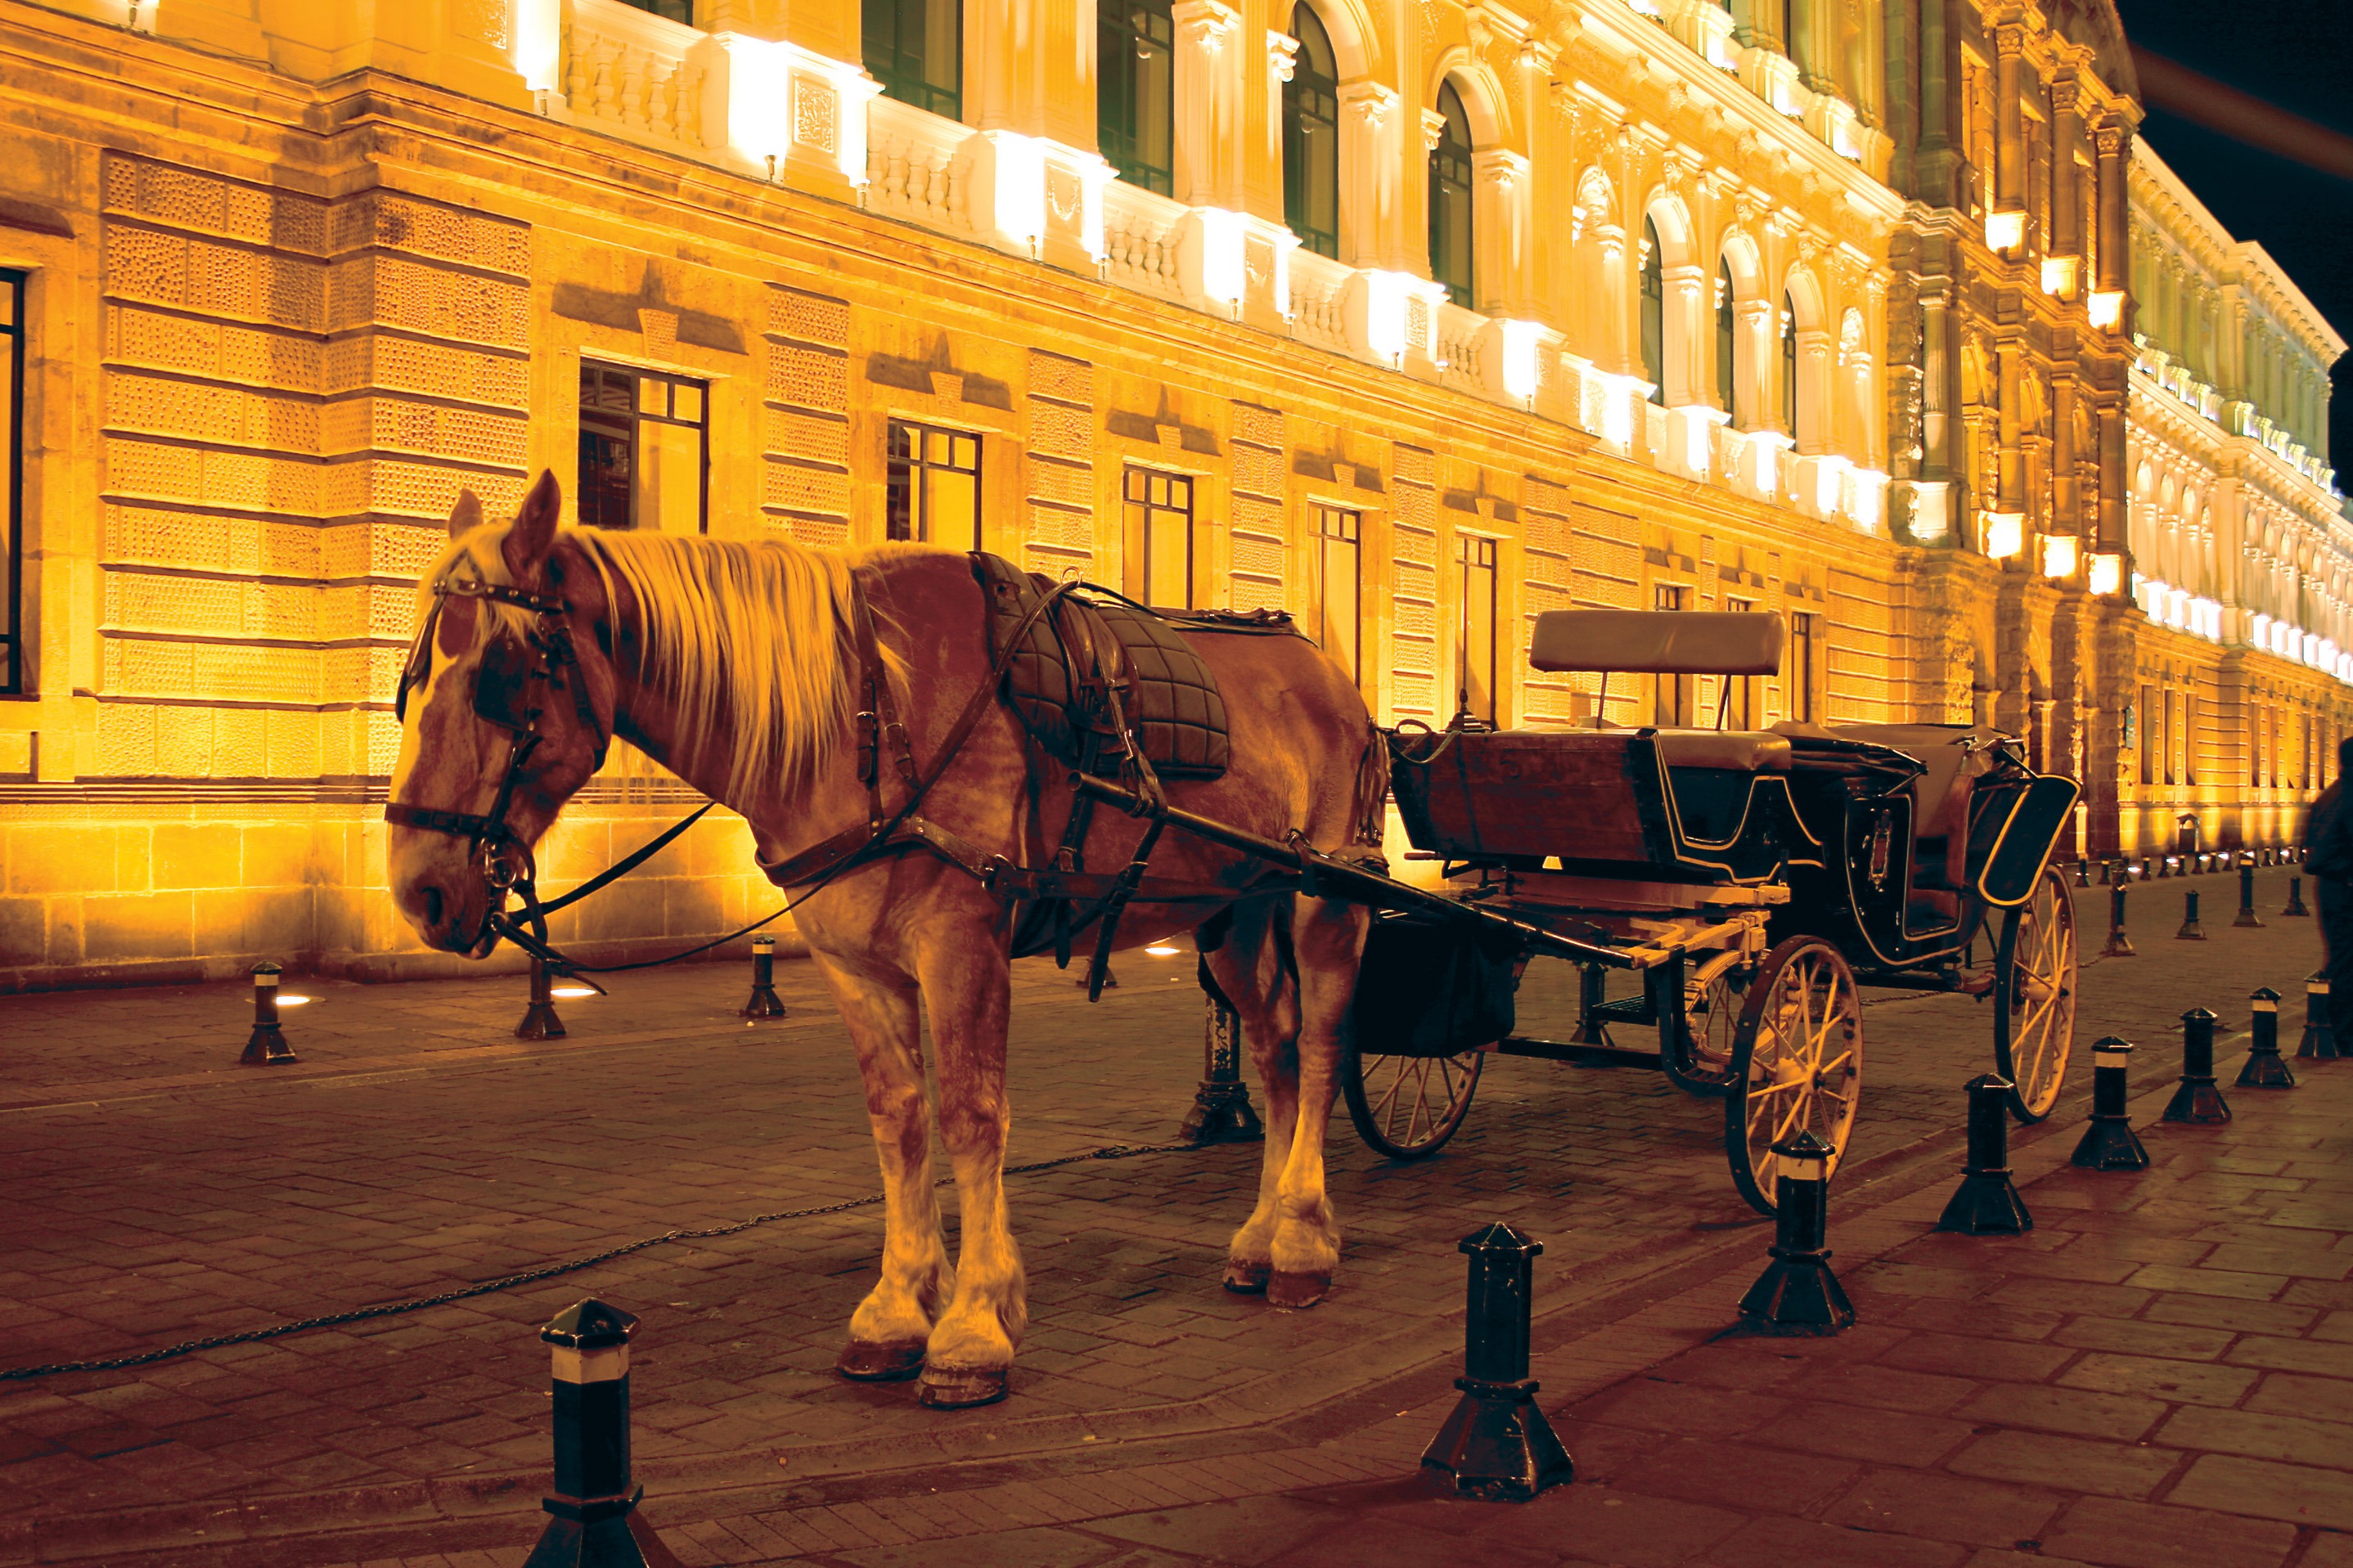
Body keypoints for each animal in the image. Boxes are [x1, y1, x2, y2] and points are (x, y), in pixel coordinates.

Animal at [386, 470, 1387, 1408]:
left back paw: (1304, 1239)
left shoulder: (961, 944)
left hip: (1326, 899)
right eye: (407, 683)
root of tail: (1331, 676)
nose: (418, 886)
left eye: (496, 675)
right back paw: (1263, 1237)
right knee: (1276, 1051)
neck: (868, 711)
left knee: (1324, 1047)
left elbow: (971, 1116)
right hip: (1236, 912)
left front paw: (975, 1325)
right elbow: (898, 1121)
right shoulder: (854, 965)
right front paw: (899, 1307)